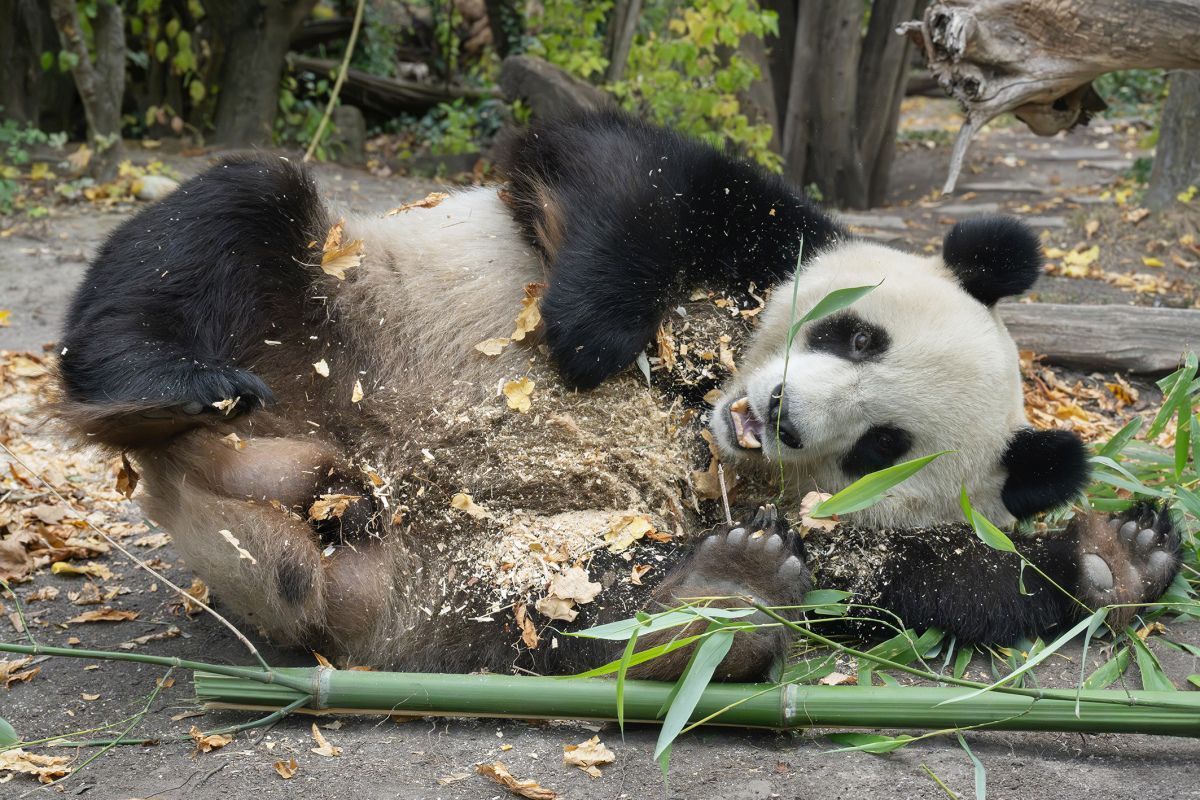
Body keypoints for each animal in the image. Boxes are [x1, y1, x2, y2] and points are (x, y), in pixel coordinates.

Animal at [53, 110, 1179, 681]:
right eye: (853, 334)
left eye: (880, 447)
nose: (779, 416)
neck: (702, 421)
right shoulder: (757, 231)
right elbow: (621, 168)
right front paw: (593, 334)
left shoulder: (837, 524)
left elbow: (909, 578)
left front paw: (1114, 556)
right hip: (325, 311)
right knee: (225, 219)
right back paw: (167, 384)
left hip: (474, 576)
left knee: (578, 606)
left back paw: (718, 602)